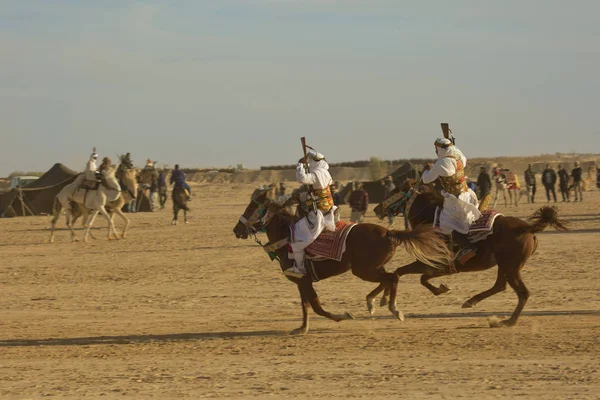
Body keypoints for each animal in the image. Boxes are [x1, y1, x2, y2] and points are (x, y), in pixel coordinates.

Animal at [232, 188, 452, 334]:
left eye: (251, 207)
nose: (236, 230)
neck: (287, 238)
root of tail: (388, 232)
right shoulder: (302, 282)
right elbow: (306, 305)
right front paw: (302, 328)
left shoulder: (304, 280)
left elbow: (317, 307)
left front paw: (343, 316)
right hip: (371, 268)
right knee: (390, 278)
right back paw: (376, 302)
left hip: (364, 270)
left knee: (392, 278)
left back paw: (393, 308)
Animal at [372, 180, 568, 326]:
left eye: (393, 191)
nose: (376, 208)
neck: (428, 219)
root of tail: (527, 228)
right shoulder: (439, 267)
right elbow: (422, 278)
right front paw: (441, 289)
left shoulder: (427, 263)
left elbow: (399, 273)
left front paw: (387, 303)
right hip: (505, 266)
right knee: (500, 285)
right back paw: (472, 302)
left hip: (510, 266)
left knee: (522, 292)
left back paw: (508, 321)